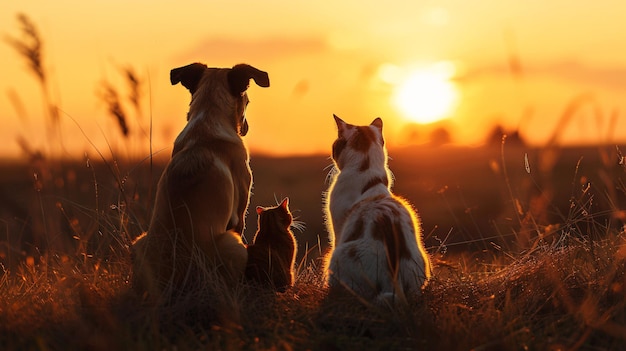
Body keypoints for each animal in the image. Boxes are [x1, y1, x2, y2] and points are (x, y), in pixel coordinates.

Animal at [132, 63, 268, 300]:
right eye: (247, 100)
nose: (246, 127)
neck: (208, 120)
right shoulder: (239, 215)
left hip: (139, 241)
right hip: (232, 244)